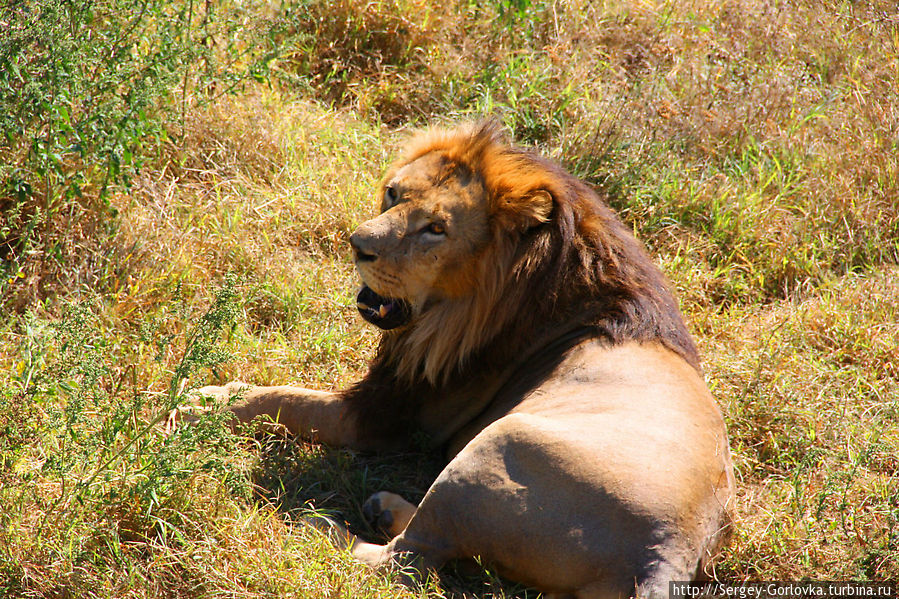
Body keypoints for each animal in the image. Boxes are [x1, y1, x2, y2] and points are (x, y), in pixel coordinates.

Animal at [195, 122, 732, 599]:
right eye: (392, 193)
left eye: (435, 229)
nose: (357, 245)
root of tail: (665, 554)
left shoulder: (387, 418)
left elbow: (282, 397)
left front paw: (206, 402)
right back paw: (383, 509)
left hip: (497, 446)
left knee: (402, 562)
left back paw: (322, 524)